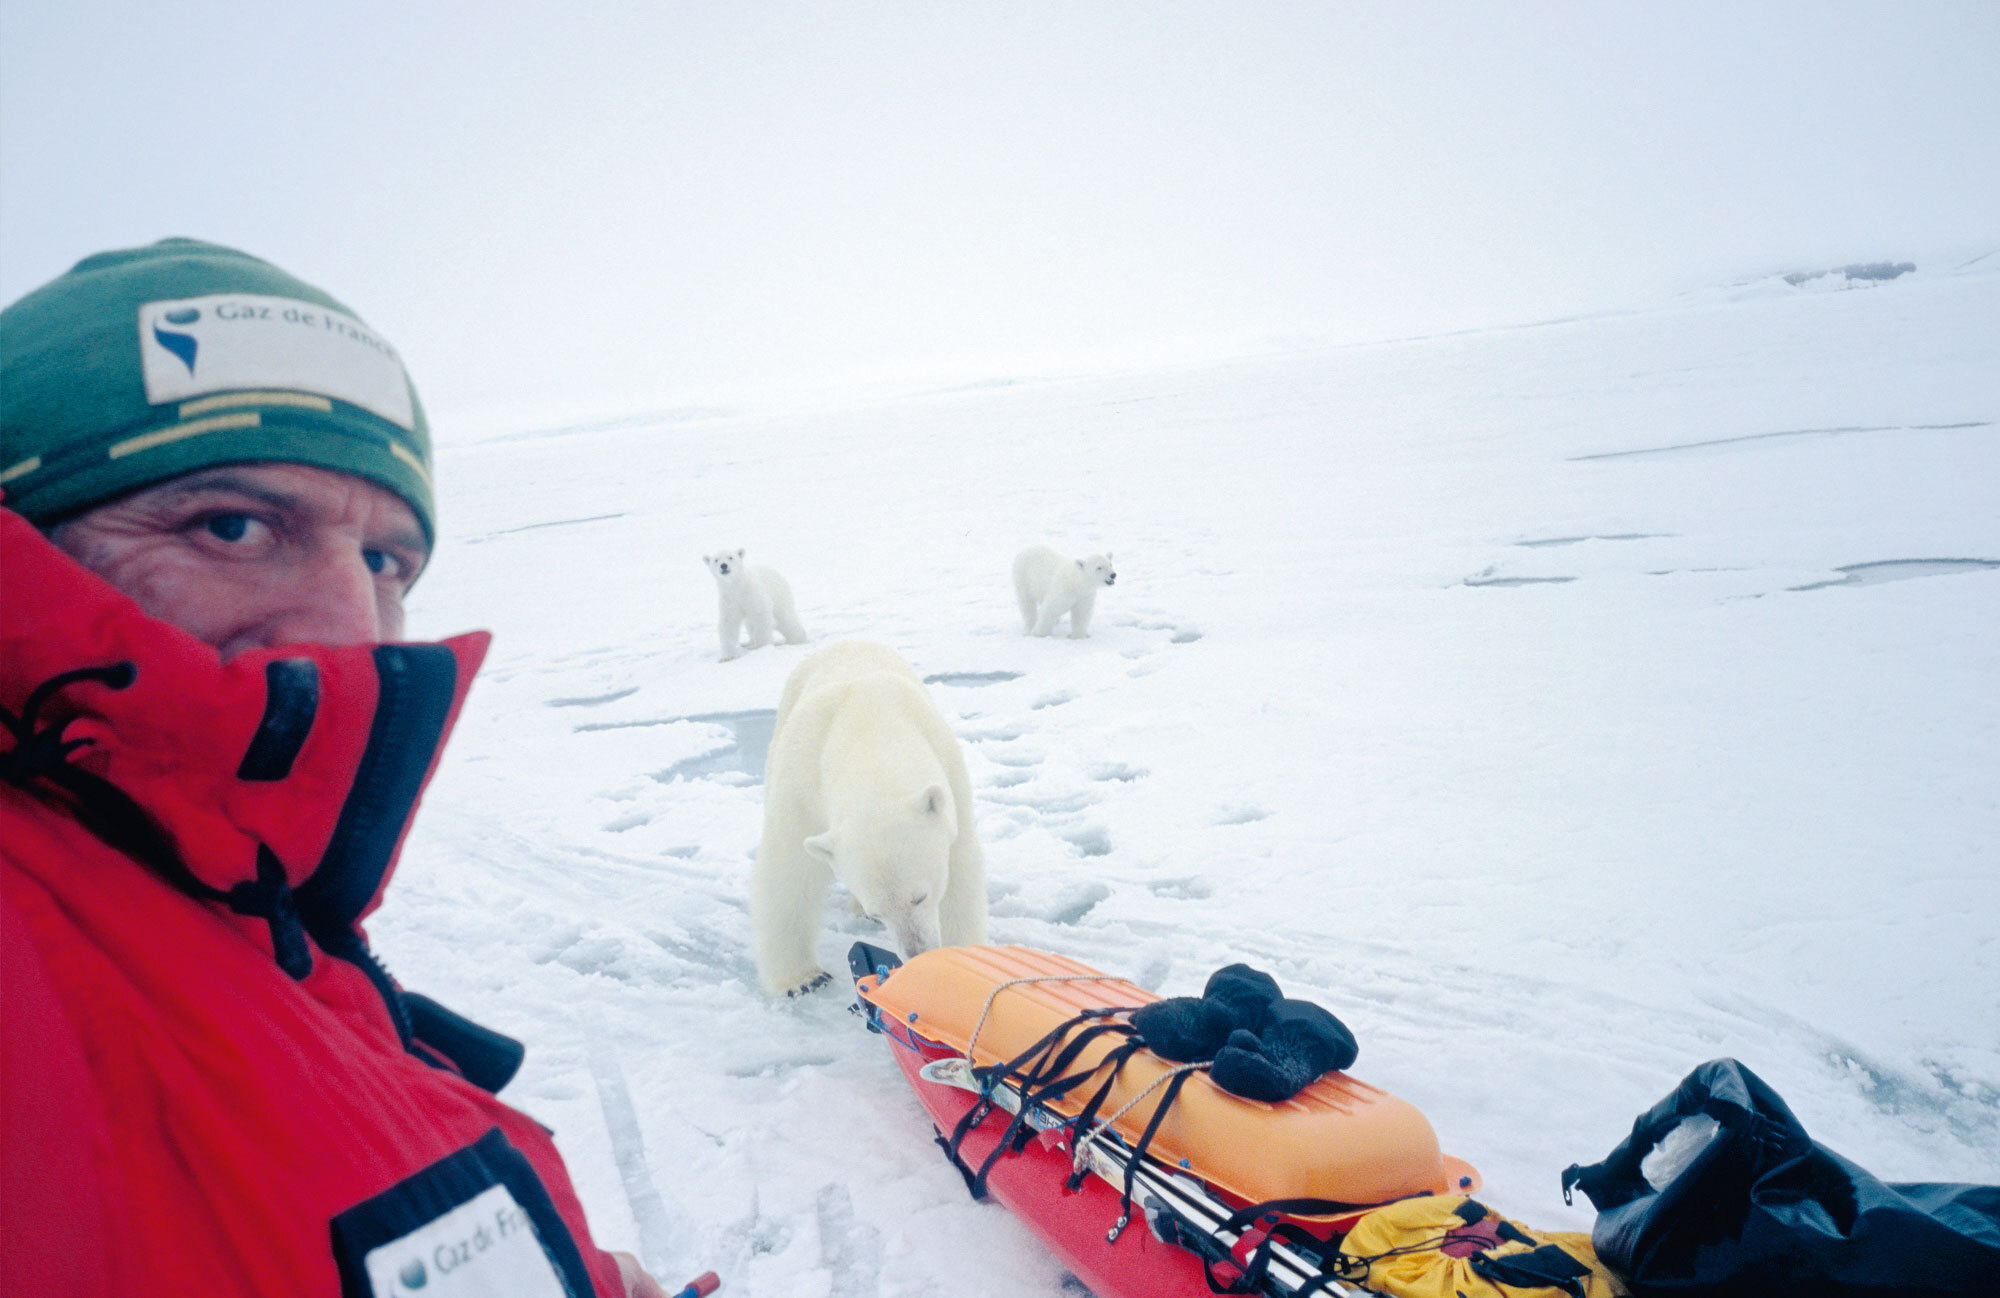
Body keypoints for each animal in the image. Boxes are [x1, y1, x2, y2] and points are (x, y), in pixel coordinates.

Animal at [752, 636, 988, 992]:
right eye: (878, 912)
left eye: (920, 897)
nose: (916, 952)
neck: (866, 727)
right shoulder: (801, 785)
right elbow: (789, 869)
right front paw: (804, 979)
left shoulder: (949, 773)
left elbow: (960, 872)